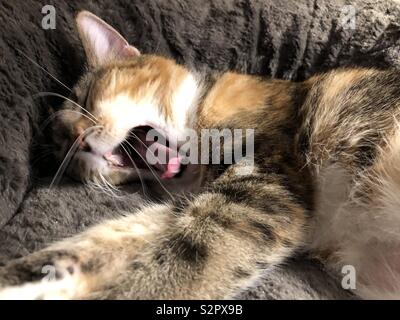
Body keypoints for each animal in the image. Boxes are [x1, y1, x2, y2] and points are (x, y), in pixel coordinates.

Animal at [0, 10, 400, 298]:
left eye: (85, 99)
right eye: (62, 150)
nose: (75, 142)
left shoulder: (260, 193)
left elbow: (183, 260)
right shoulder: (191, 205)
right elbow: (106, 239)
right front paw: (20, 279)